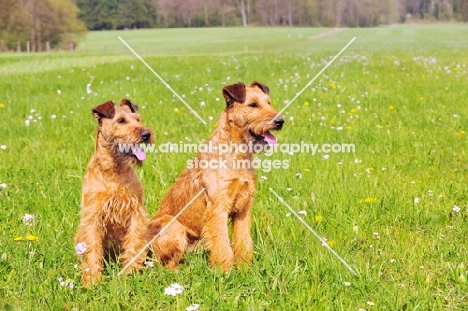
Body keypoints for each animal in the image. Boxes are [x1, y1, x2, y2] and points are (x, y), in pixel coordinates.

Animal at [74, 98, 153, 286]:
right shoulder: (93, 216)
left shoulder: (136, 213)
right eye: (121, 120)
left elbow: (133, 244)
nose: (146, 134)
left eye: (137, 119)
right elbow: (93, 248)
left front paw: (130, 274)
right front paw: (92, 281)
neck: (114, 171)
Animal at [148, 81, 284, 272]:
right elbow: (222, 244)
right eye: (253, 105)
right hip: (172, 225)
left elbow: (243, 241)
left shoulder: (243, 209)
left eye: (269, 103)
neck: (237, 155)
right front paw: (225, 272)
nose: (280, 121)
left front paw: (245, 268)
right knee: (166, 264)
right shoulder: (218, 208)